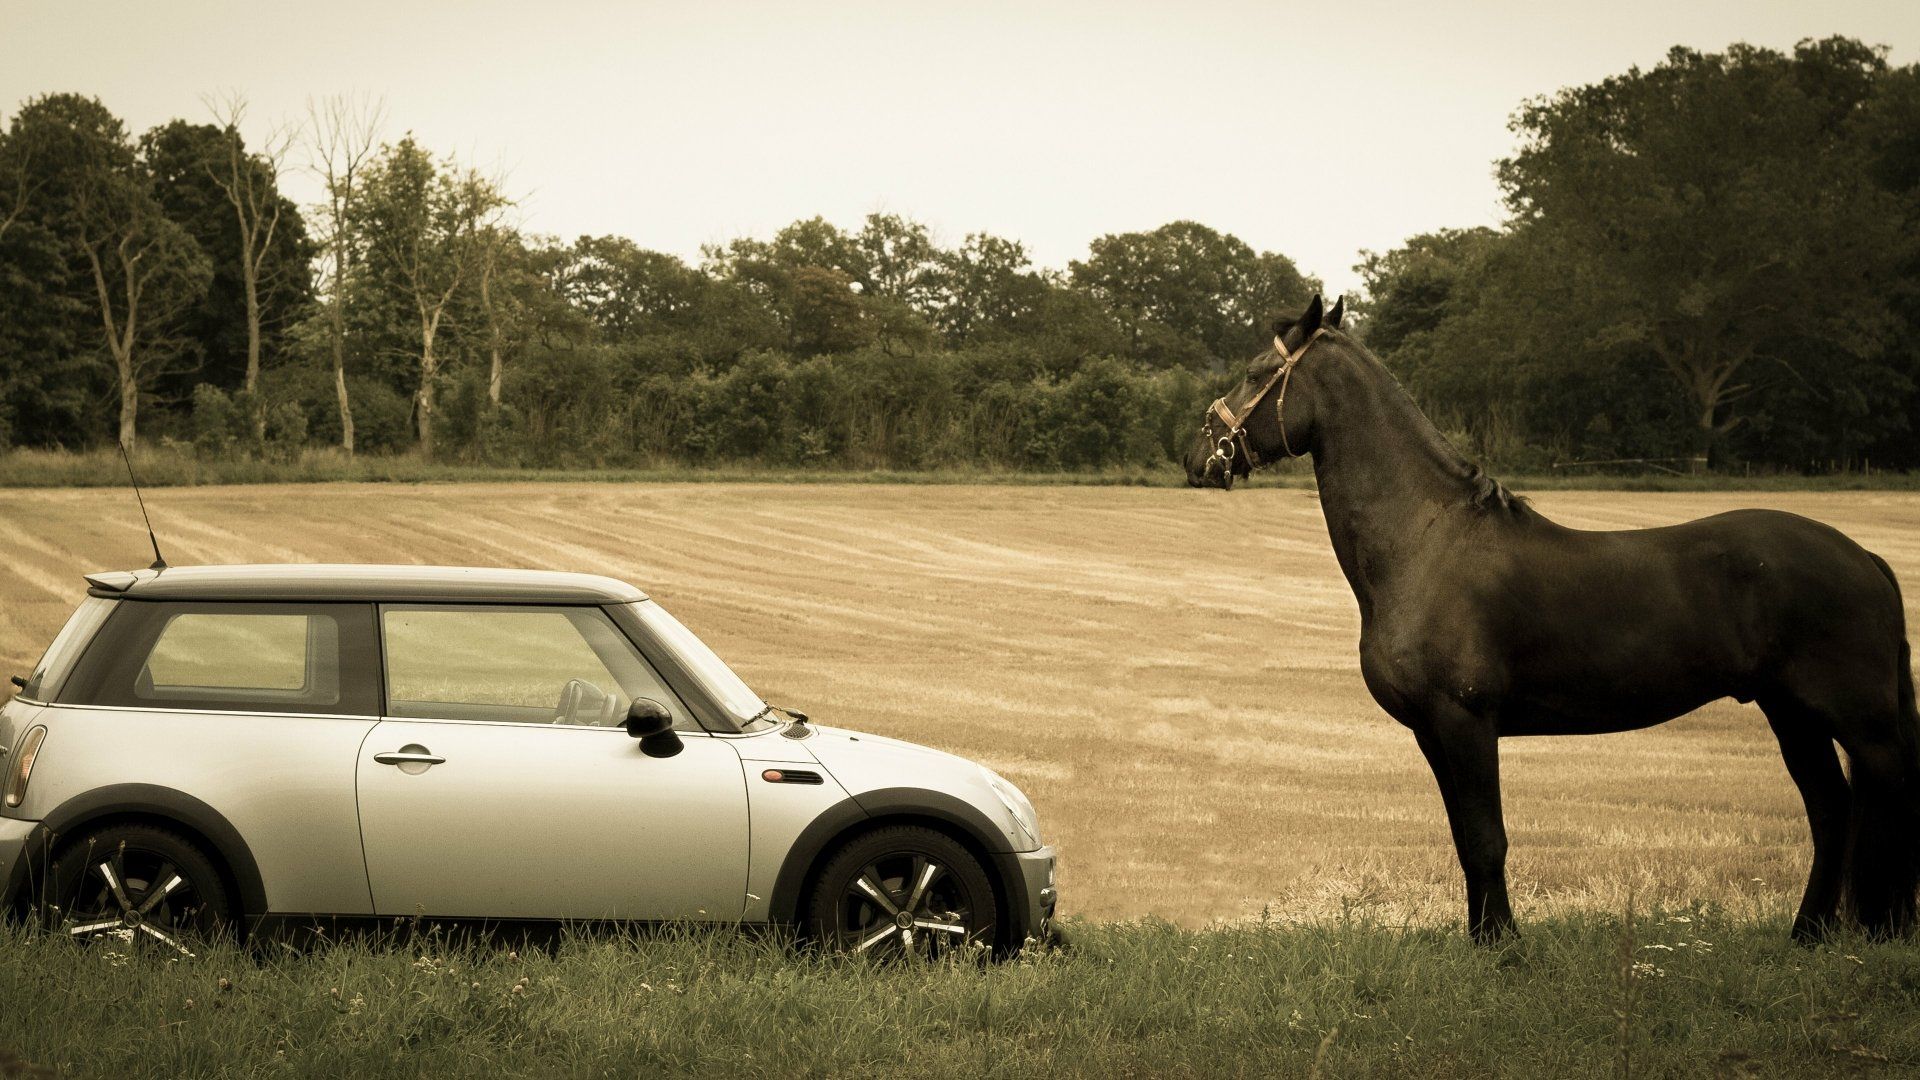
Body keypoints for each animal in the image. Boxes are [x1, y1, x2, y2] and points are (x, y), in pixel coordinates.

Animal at [1185, 294, 1920, 943]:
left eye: (1256, 370)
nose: (1198, 457)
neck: (1426, 540)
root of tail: (1866, 559)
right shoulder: (1432, 731)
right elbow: (1464, 840)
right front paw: (1482, 940)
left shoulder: (1466, 721)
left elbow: (1488, 839)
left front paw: (1505, 948)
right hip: (1790, 713)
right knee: (1832, 811)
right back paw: (1805, 937)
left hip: (1861, 724)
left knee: (1878, 804)